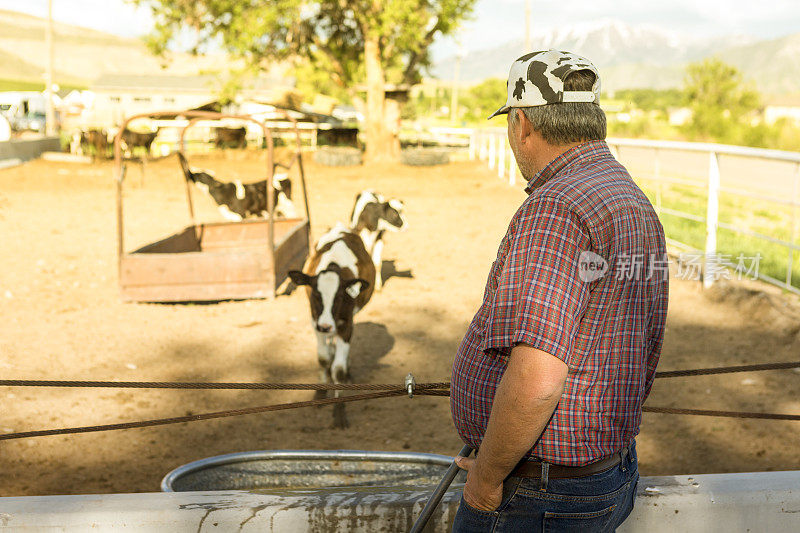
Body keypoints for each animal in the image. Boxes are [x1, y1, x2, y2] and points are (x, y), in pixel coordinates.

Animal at [288, 225, 376, 428]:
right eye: (316, 295)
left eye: (339, 297)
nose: (326, 326)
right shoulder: (315, 322)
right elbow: (323, 358)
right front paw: (321, 392)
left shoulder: (346, 325)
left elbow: (339, 369)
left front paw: (339, 410)